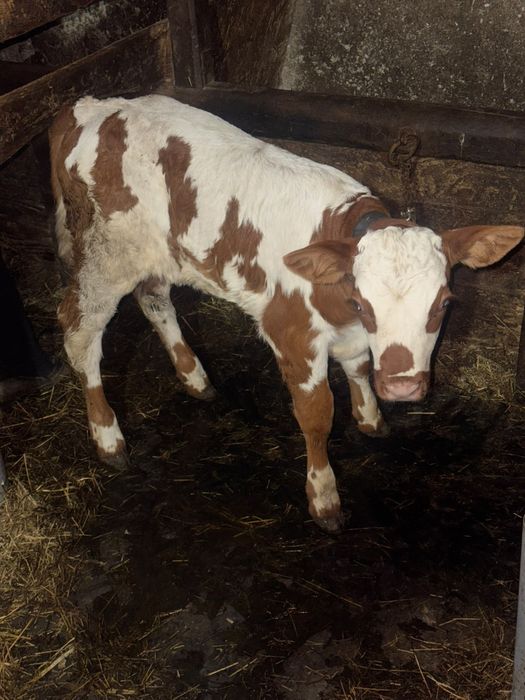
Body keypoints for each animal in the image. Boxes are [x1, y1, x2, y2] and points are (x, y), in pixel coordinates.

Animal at [49, 95, 523, 532]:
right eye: (364, 302)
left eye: (444, 303)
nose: (403, 387)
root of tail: (91, 107)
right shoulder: (292, 332)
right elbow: (317, 414)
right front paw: (324, 496)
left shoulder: (350, 335)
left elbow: (359, 367)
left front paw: (371, 417)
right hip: (107, 255)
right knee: (78, 330)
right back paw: (108, 437)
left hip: (158, 254)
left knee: (154, 299)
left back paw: (194, 377)